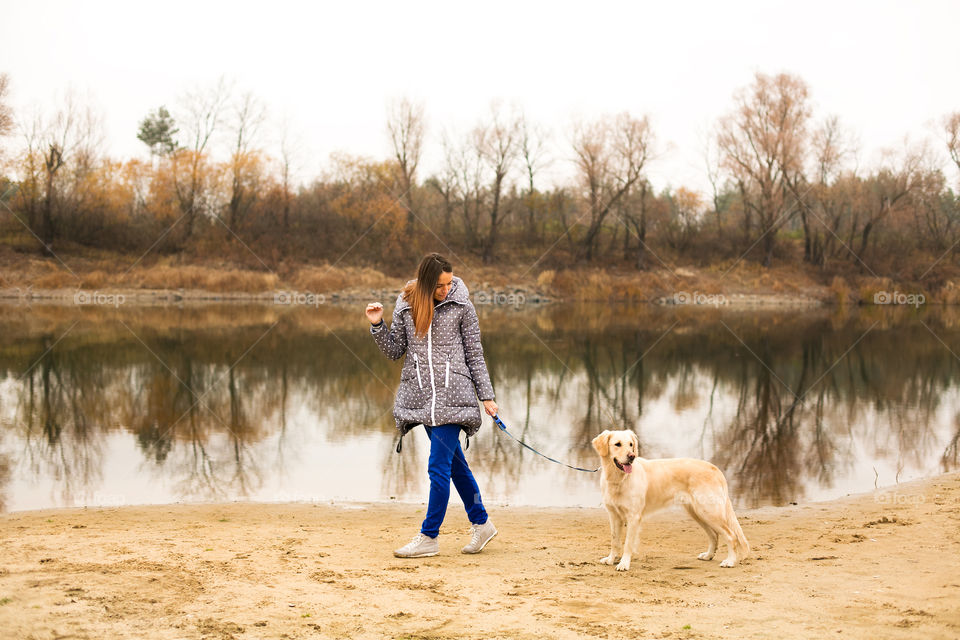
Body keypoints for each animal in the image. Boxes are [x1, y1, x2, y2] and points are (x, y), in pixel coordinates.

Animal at [592, 430, 752, 568]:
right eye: (617, 444)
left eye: (631, 444)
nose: (632, 456)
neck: (618, 479)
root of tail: (715, 469)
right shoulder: (614, 515)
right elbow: (614, 540)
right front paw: (611, 559)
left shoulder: (633, 516)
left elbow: (627, 543)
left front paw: (624, 564)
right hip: (697, 513)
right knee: (714, 535)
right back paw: (708, 555)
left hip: (708, 511)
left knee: (731, 536)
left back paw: (730, 561)